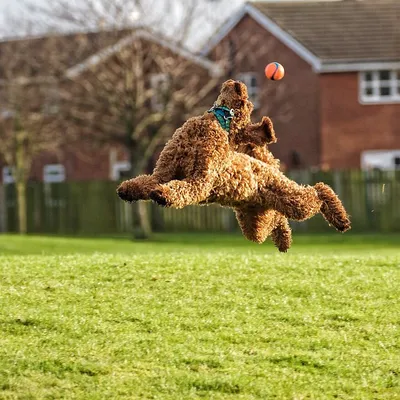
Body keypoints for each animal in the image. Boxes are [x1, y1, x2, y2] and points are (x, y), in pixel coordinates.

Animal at [118, 79, 350, 245]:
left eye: (248, 103)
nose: (239, 83)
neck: (217, 122)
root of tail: (267, 164)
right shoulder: (163, 173)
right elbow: (144, 182)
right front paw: (127, 190)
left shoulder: (200, 181)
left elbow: (182, 189)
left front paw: (163, 194)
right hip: (255, 221)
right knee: (276, 220)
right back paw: (284, 240)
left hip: (290, 200)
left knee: (318, 191)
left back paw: (340, 219)